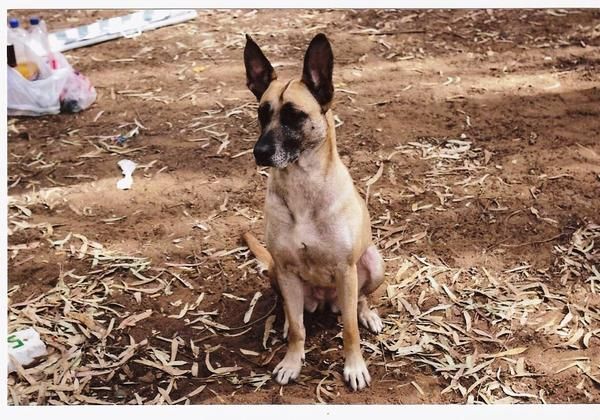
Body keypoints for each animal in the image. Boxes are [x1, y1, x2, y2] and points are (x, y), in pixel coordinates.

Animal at [243, 34, 384, 392]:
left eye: (294, 115)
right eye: (262, 113)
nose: (259, 153)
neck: (302, 187)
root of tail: (323, 300)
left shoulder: (346, 271)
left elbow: (349, 330)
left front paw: (354, 366)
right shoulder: (286, 269)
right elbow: (298, 328)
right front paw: (292, 362)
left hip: (373, 264)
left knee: (359, 301)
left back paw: (367, 313)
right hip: (276, 273)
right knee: (292, 311)